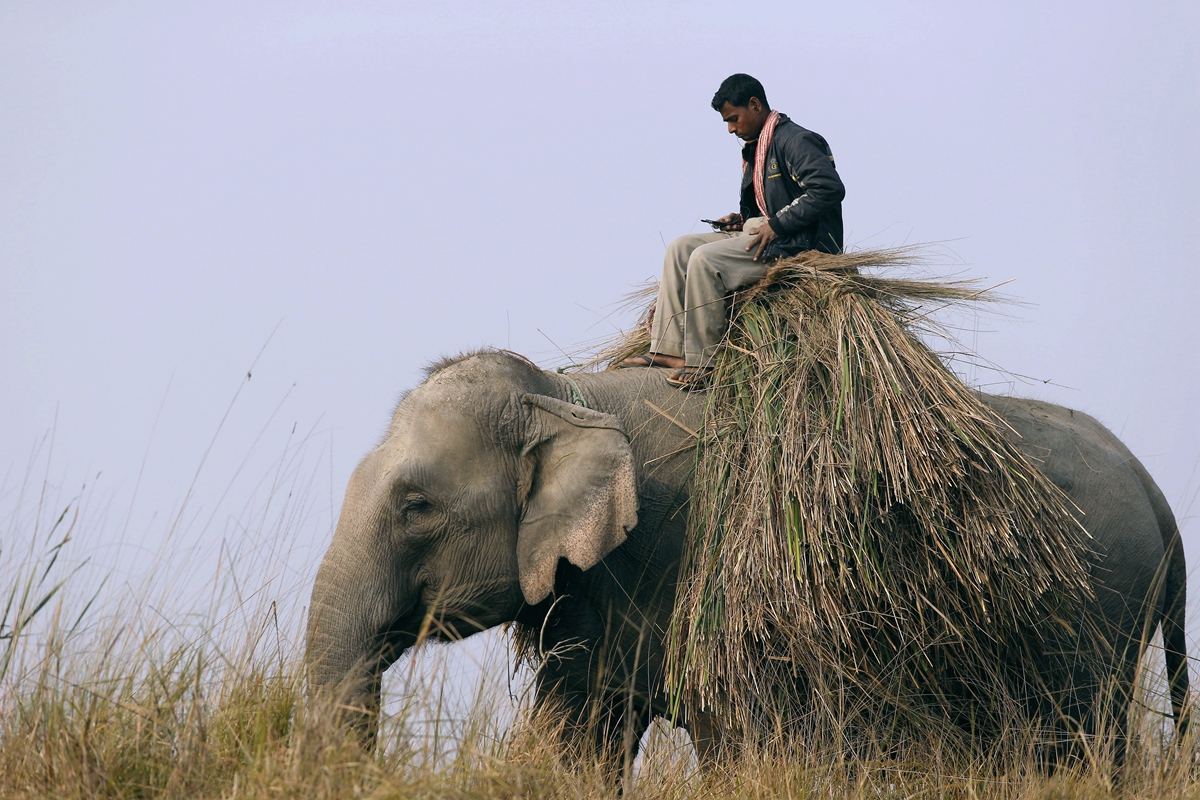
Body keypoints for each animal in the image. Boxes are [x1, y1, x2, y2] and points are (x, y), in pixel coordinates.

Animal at [304, 350, 1185, 767]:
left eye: (416, 506)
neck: (566, 393)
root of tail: (1162, 501)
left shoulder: (705, 564)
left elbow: (735, 732)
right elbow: (582, 734)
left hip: (1101, 612)